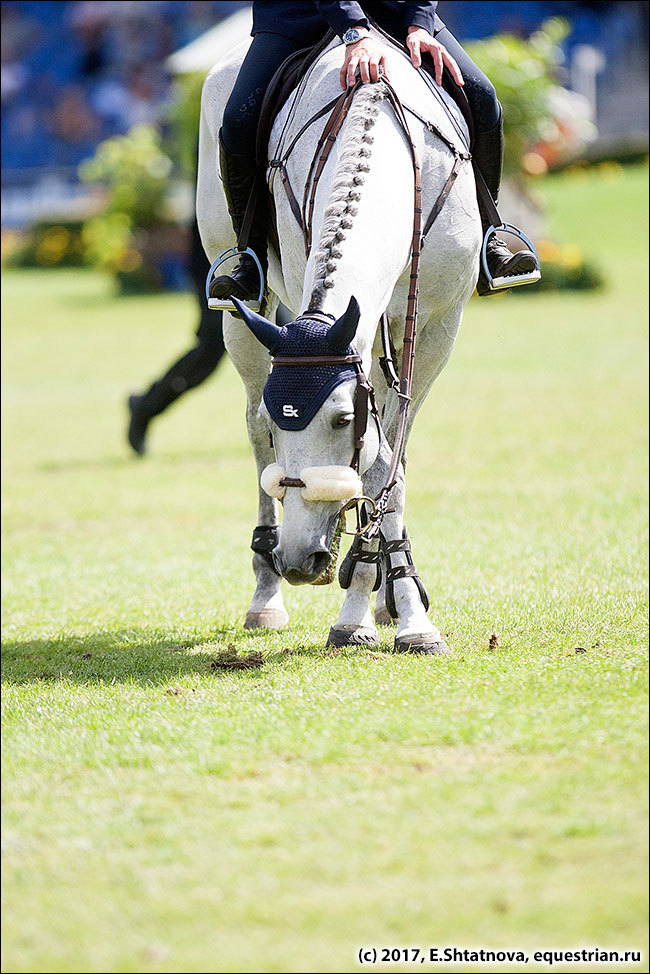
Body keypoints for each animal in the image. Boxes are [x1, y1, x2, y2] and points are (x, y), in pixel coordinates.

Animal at [195, 28, 478, 656]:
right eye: (286, 427)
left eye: (342, 420)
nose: (301, 561)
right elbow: (373, 459)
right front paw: (360, 613)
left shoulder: (436, 328)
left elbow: (388, 461)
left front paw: (400, 608)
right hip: (241, 314)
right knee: (250, 424)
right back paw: (267, 595)